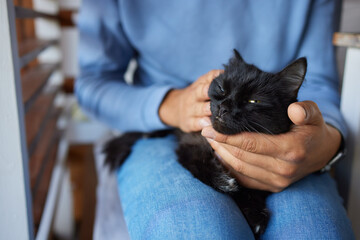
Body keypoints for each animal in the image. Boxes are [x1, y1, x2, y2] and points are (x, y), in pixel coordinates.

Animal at [103, 49, 306, 239]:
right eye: (222, 88)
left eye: (253, 100)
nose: (223, 107)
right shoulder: (190, 145)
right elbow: (200, 164)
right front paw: (225, 183)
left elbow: (255, 191)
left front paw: (254, 214)